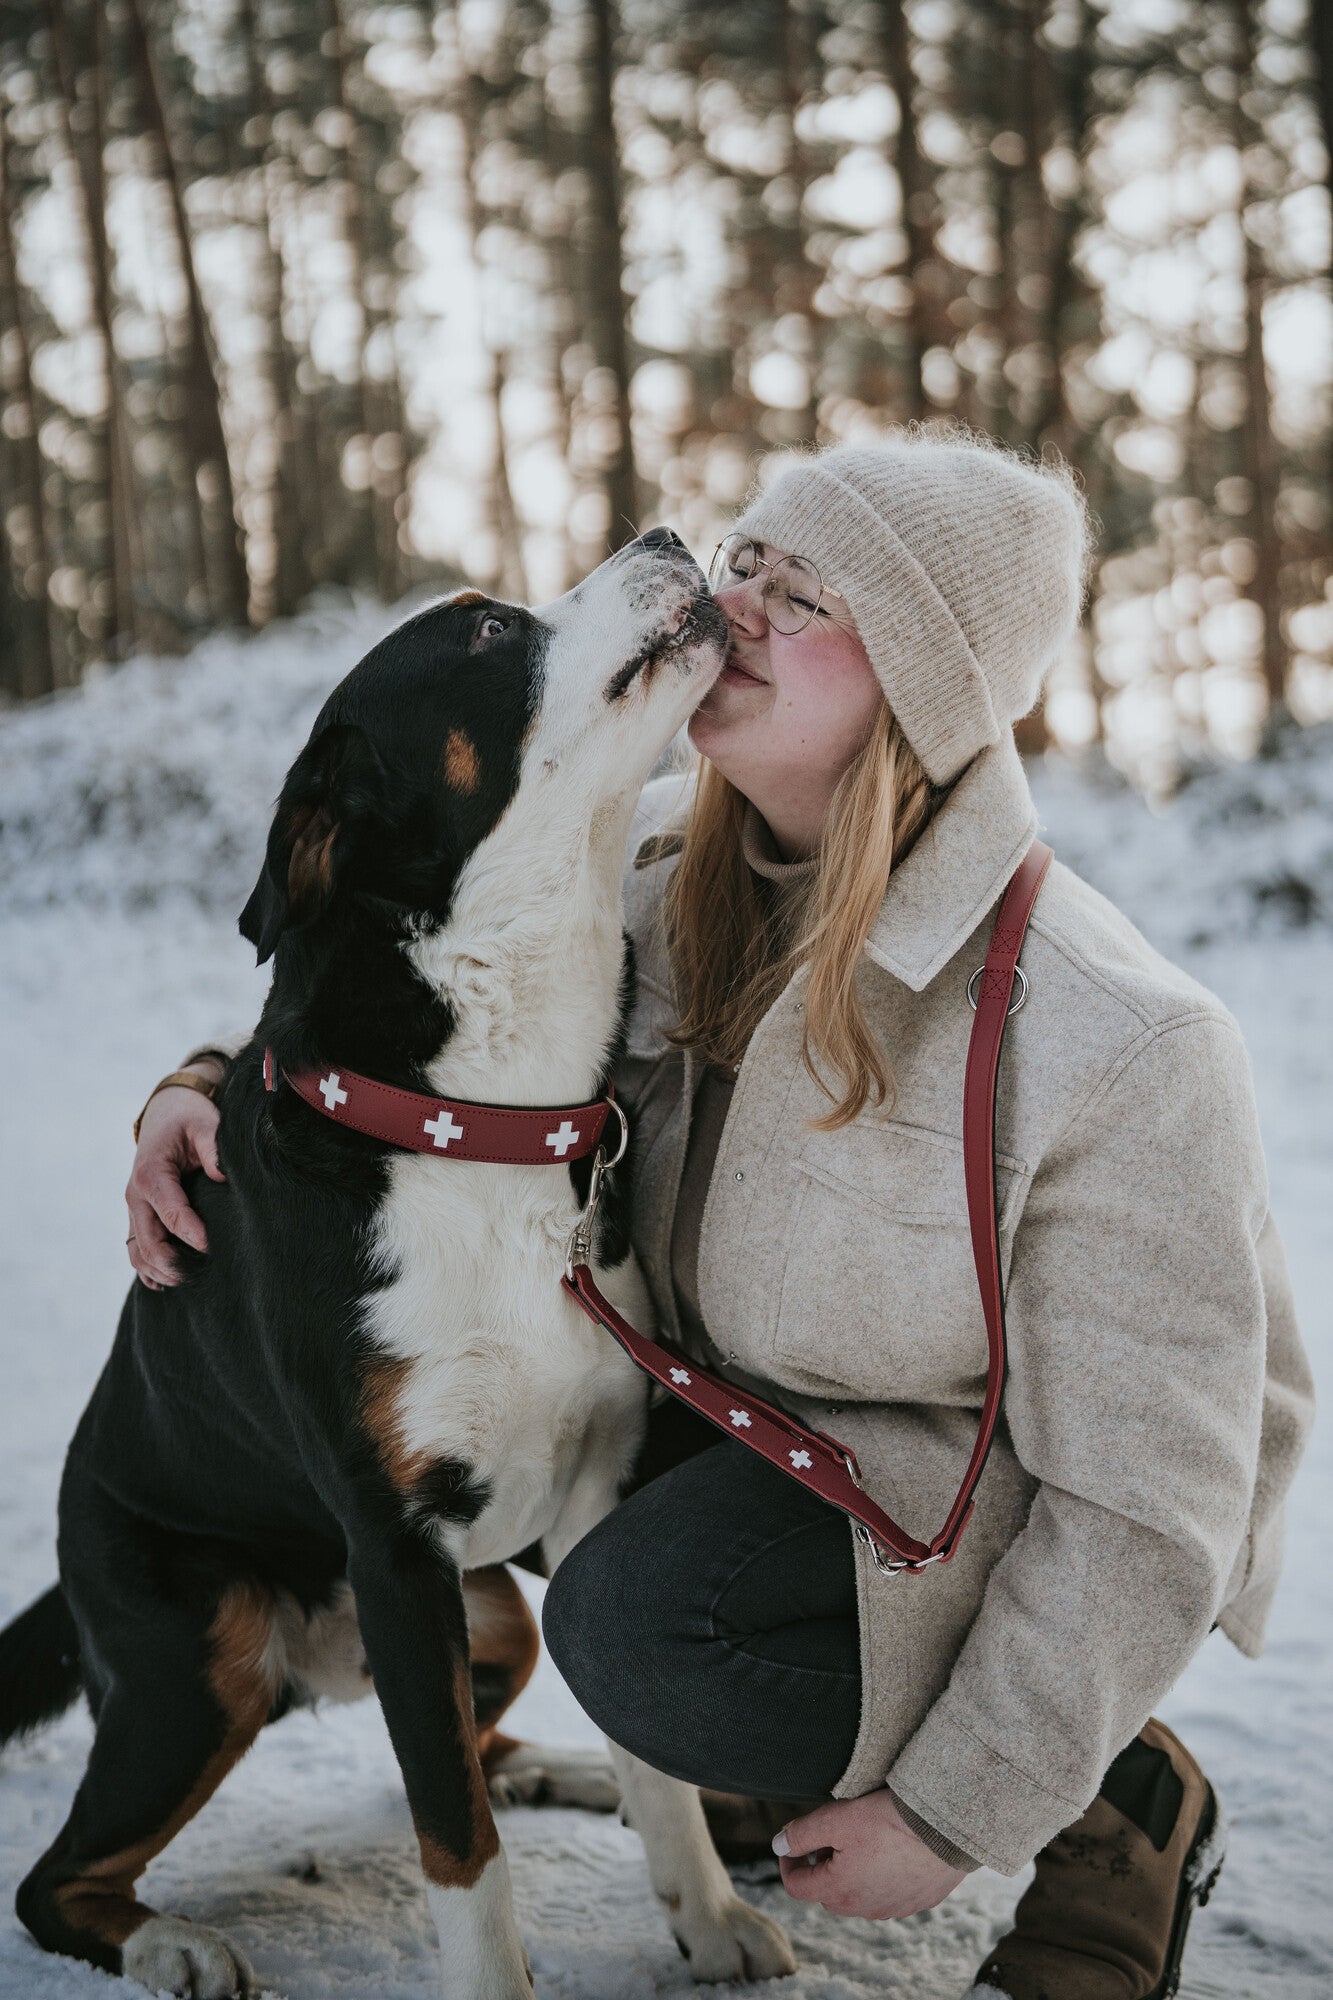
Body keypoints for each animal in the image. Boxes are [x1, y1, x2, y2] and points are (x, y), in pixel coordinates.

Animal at [0, 532, 788, 2000]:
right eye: (483, 630)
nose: (665, 536)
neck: (482, 1119)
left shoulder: (587, 1497)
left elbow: (640, 1763)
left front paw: (705, 1914)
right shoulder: (396, 1551)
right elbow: (460, 1859)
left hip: (490, 1623)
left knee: (474, 1751)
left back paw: (559, 1774)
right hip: (204, 1663)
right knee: (57, 1879)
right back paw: (175, 1944)